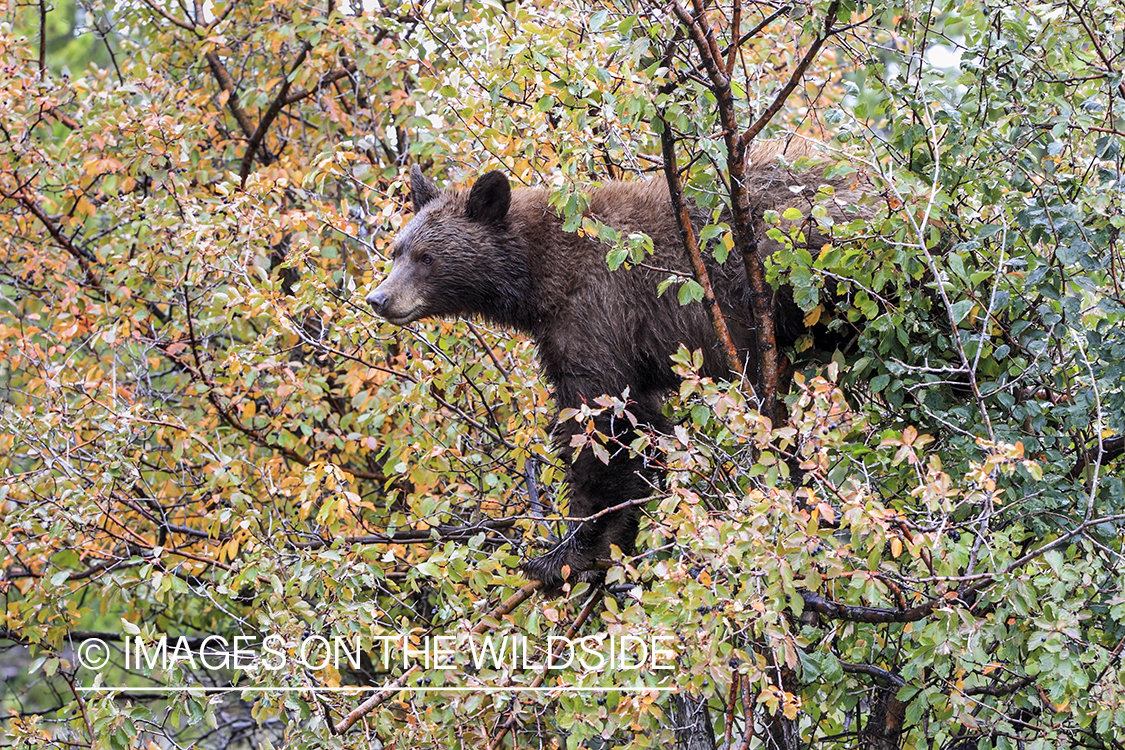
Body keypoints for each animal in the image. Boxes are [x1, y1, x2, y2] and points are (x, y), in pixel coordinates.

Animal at [364, 142, 855, 593]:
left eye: (426, 257)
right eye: (397, 251)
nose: (379, 298)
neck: (541, 275)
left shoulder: (596, 310)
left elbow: (600, 423)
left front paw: (566, 551)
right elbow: (637, 424)